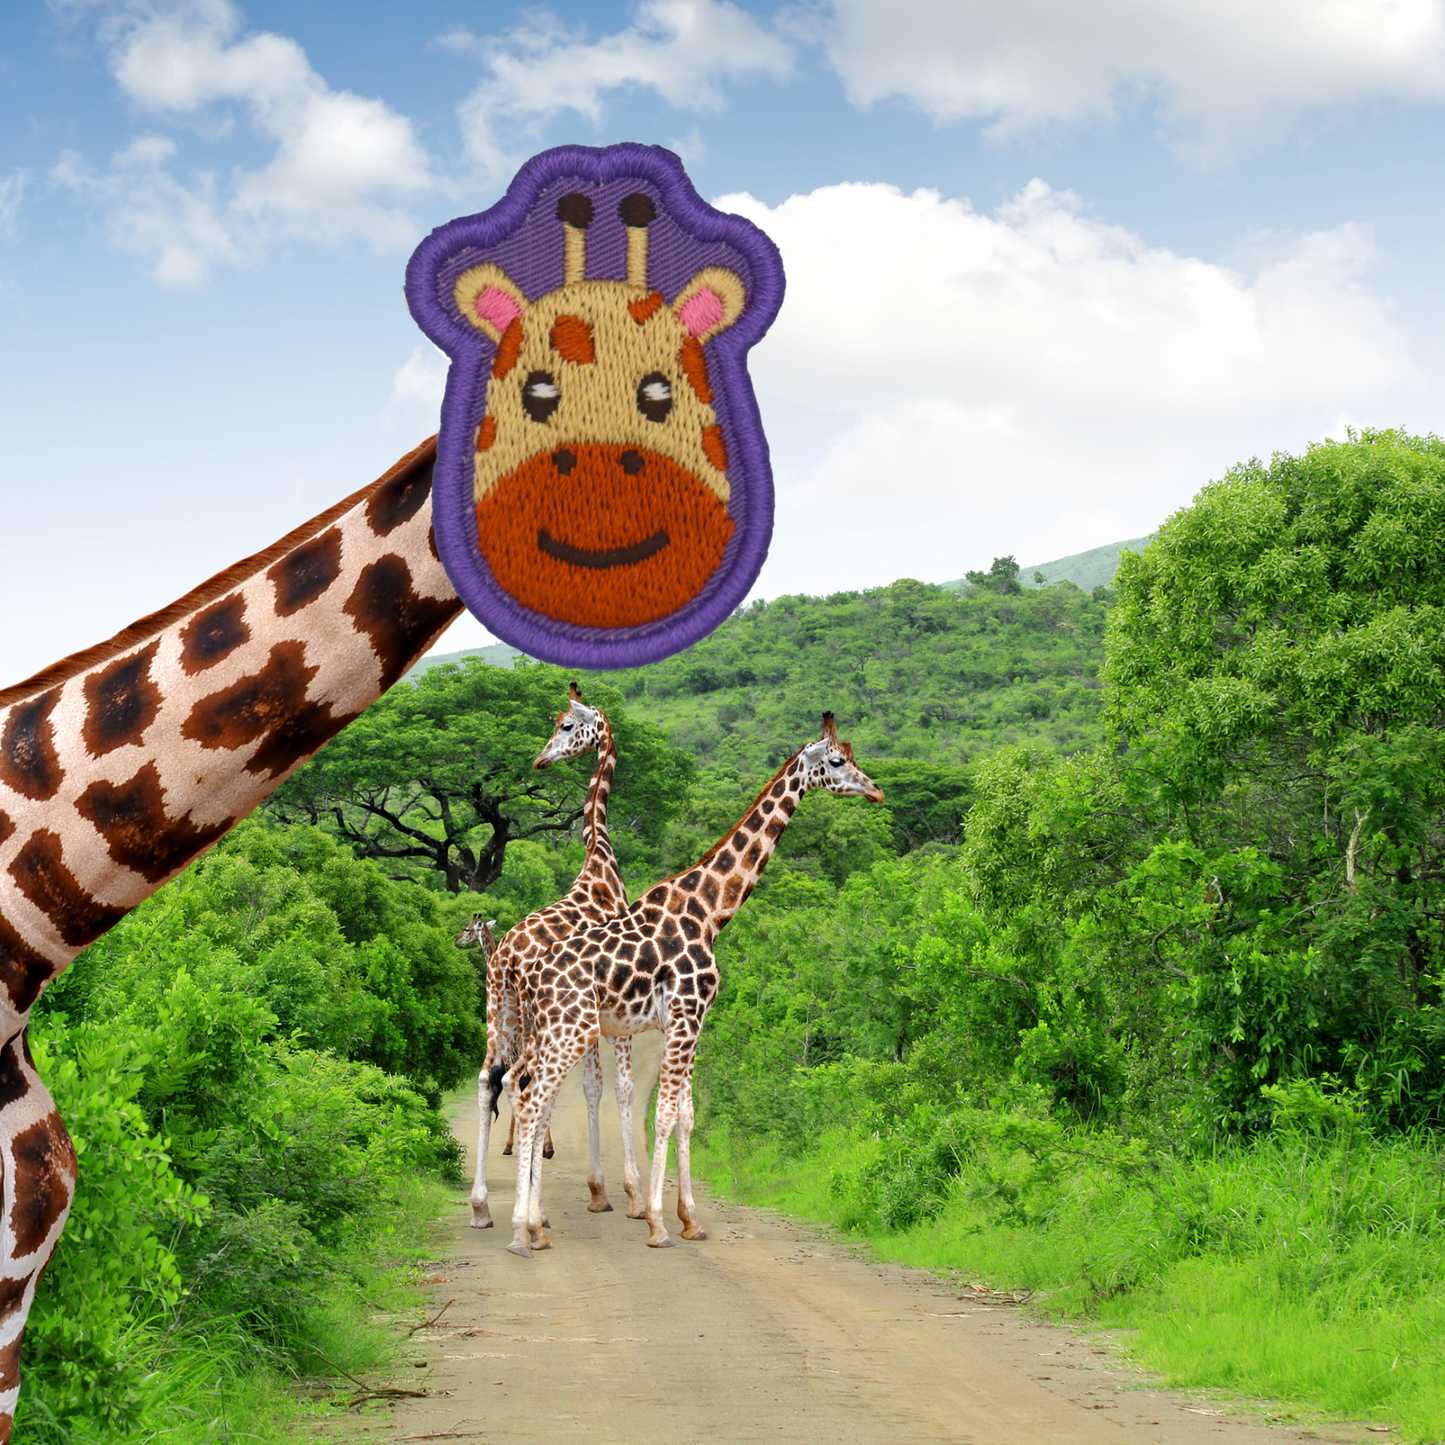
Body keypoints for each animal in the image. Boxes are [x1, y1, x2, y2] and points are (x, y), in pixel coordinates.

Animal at [465, 685, 645, 1230]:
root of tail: (503, 958)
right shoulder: (616, 1014)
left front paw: (598, 1190)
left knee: (489, 1079)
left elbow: (590, 1086)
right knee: (523, 1084)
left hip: (498, 1012)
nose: (540, 759)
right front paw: (626, 1193)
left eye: (566, 725)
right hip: (532, 1020)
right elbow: (615, 1087)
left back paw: (483, 1206)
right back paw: (533, 1211)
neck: (600, 864)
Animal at [505, 714, 883, 1257]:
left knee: (523, 1096)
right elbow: (663, 1115)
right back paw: (521, 1231)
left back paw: (533, 1226)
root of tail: (525, 973)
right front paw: (657, 1225)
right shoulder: (686, 1016)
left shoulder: (688, 1022)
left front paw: (691, 1221)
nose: (875, 791)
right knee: (533, 1102)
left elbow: (685, 1115)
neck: (710, 911)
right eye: (836, 761)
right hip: (569, 1034)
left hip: (547, 1033)